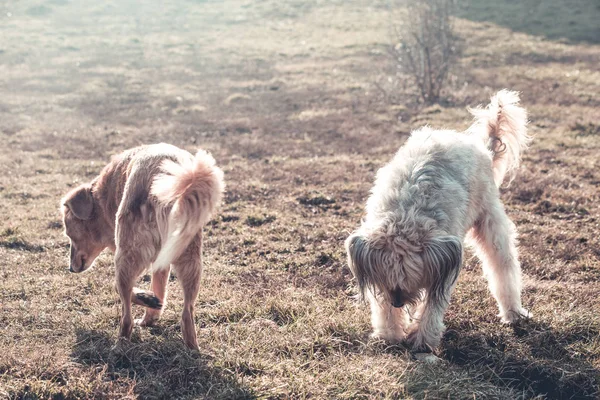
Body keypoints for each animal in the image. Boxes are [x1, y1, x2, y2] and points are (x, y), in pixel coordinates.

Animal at [61, 142, 225, 348]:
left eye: (68, 233)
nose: (70, 268)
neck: (103, 197)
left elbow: (119, 288)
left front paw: (147, 299)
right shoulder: (162, 263)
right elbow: (159, 289)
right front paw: (151, 312)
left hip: (126, 257)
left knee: (126, 316)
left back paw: (120, 346)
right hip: (191, 260)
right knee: (187, 313)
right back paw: (191, 347)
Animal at [344, 90, 532, 350]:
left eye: (409, 282)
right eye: (390, 283)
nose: (398, 303)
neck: (407, 214)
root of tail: (480, 147)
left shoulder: (443, 267)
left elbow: (433, 306)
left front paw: (423, 340)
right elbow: (381, 304)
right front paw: (389, 334)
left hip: (491, 222)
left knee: (503, 268)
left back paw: (513, 312)